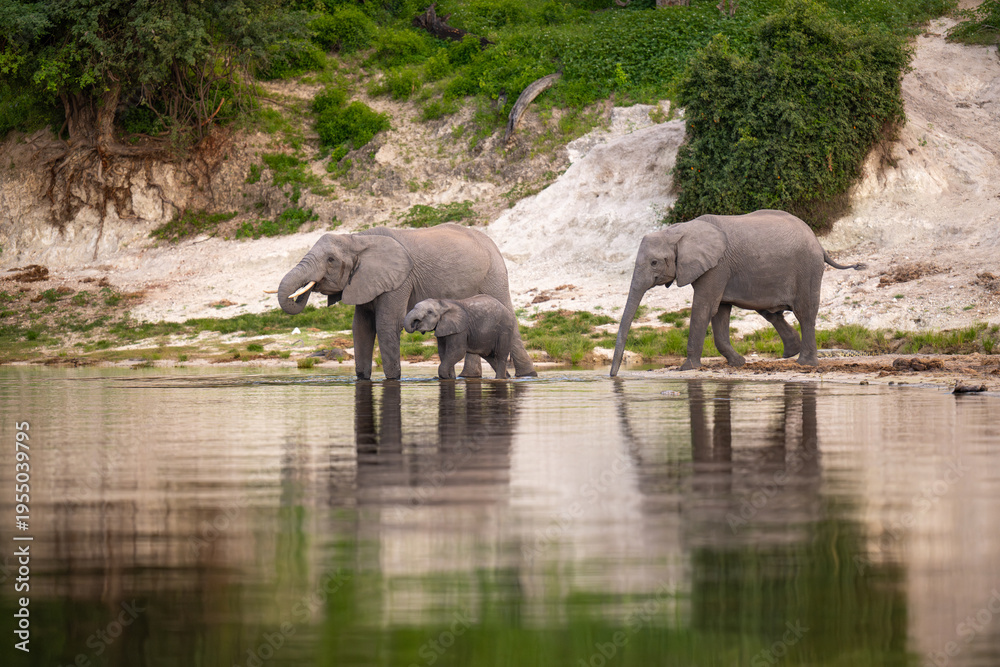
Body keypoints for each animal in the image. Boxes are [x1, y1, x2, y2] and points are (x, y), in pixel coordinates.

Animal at [277, 223, 536, 380]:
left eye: (330, 259)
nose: (305, 290)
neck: (357, 238)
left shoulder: (400, 280)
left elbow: (386, 325)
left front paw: (393, 379)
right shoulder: (366, 281)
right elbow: (361, 327)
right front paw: (362, 379)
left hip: (495, 275)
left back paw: (527, 376)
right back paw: (469, 378)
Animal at [609, 210, 865, 375]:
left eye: (654, 263)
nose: (613, 377)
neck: (679, 230)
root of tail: (819, 243)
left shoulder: (717, 266)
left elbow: (704, 307)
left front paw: (687, 368)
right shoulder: (718, 270)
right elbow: (719, 311)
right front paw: (738, 363)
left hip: (807, 268)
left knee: (805, 312)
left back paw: (804, 364)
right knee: (771, 312)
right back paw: (790, 353)